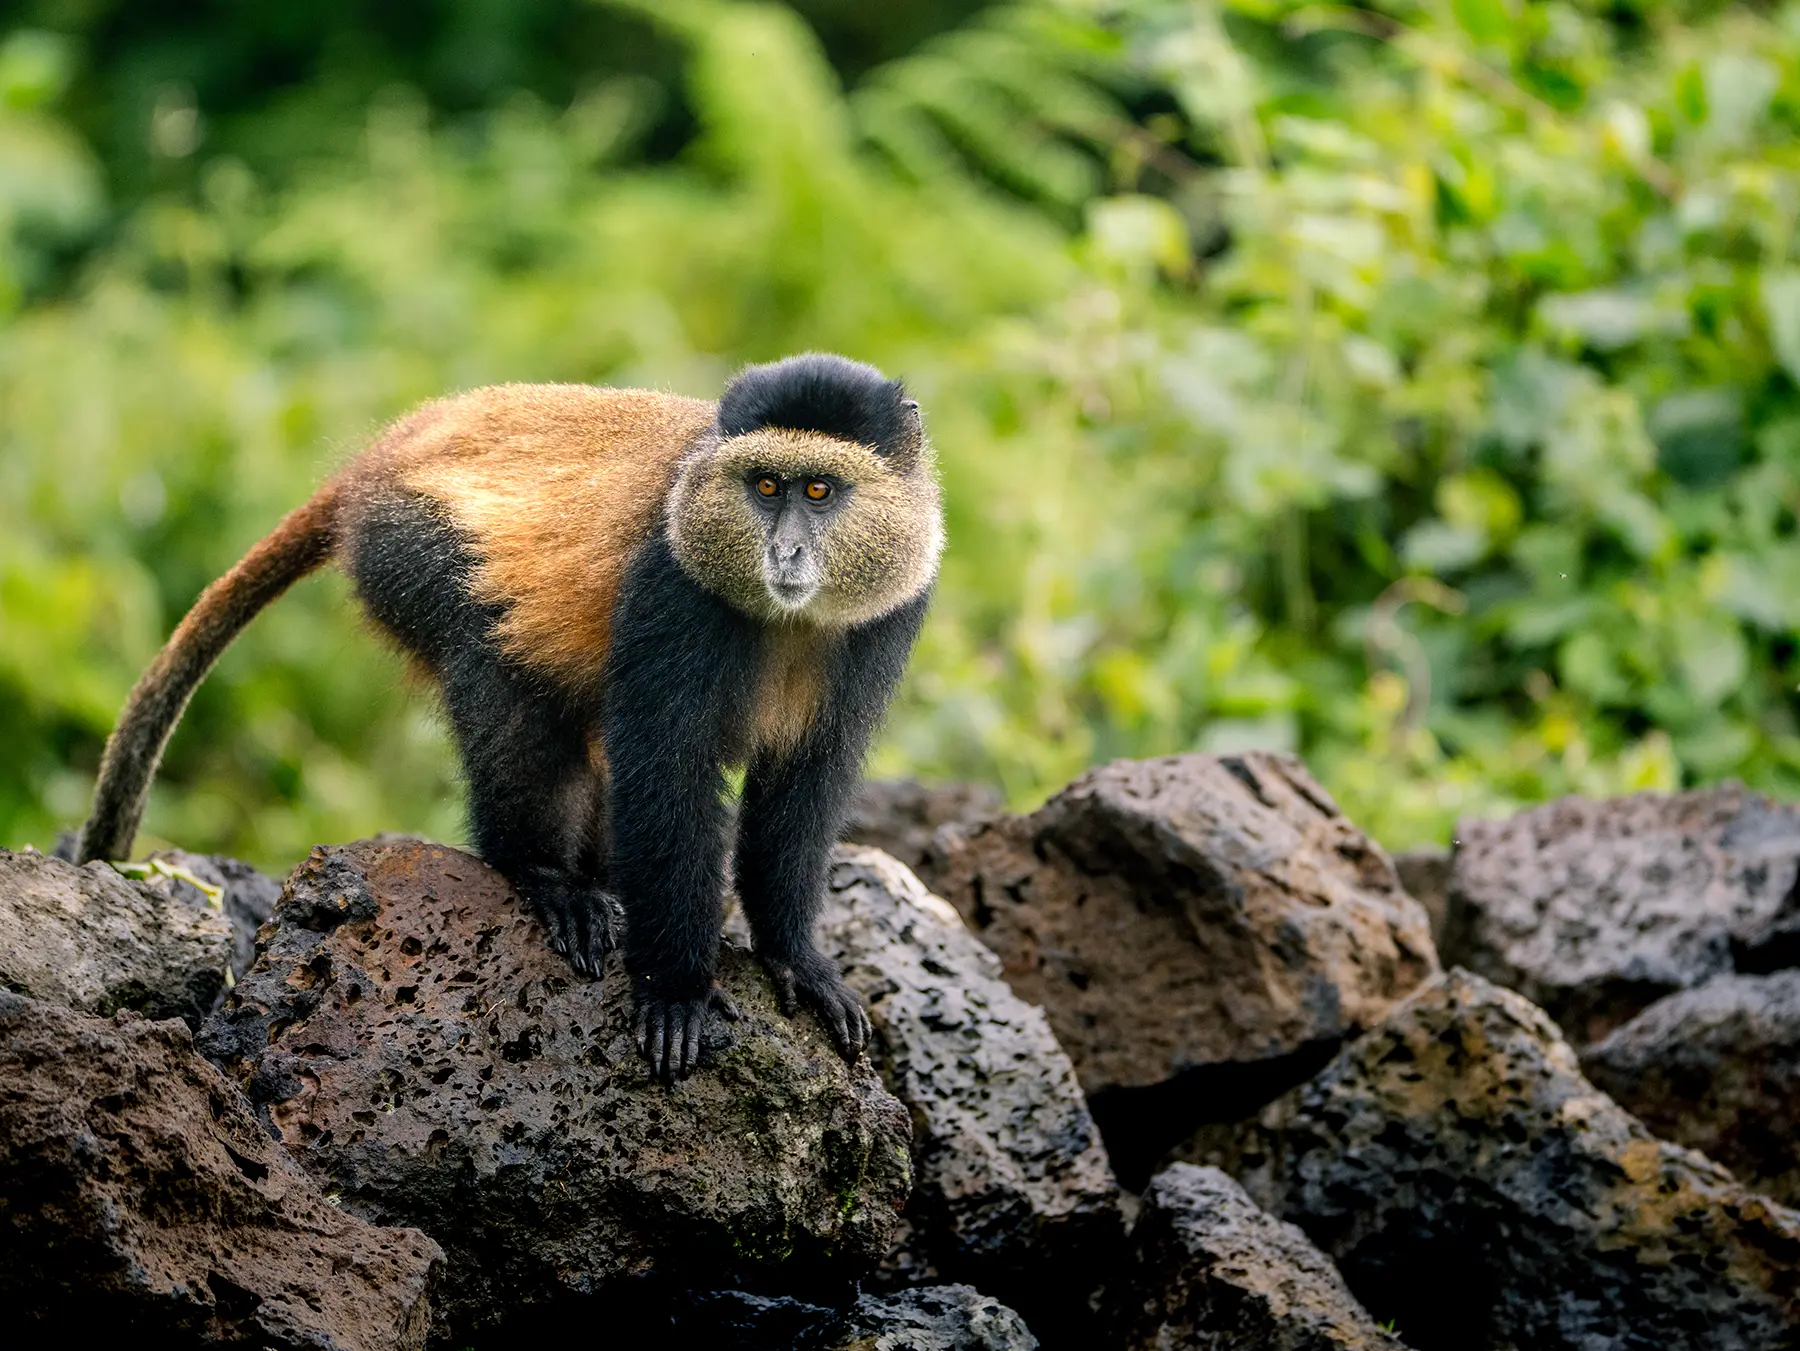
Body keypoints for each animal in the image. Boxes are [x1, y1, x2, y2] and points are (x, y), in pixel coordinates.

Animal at [67, 353, 943, 1081]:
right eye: (765, 487)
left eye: (819, 490)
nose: (785, 553)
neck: (786, 616)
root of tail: (382, 456)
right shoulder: (671, 586)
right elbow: (666, 773)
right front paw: (676, 989)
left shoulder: (893, 610)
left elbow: (808, 784)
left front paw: (797, 959)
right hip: (414, 552)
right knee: (507, 684)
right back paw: (543, 876)